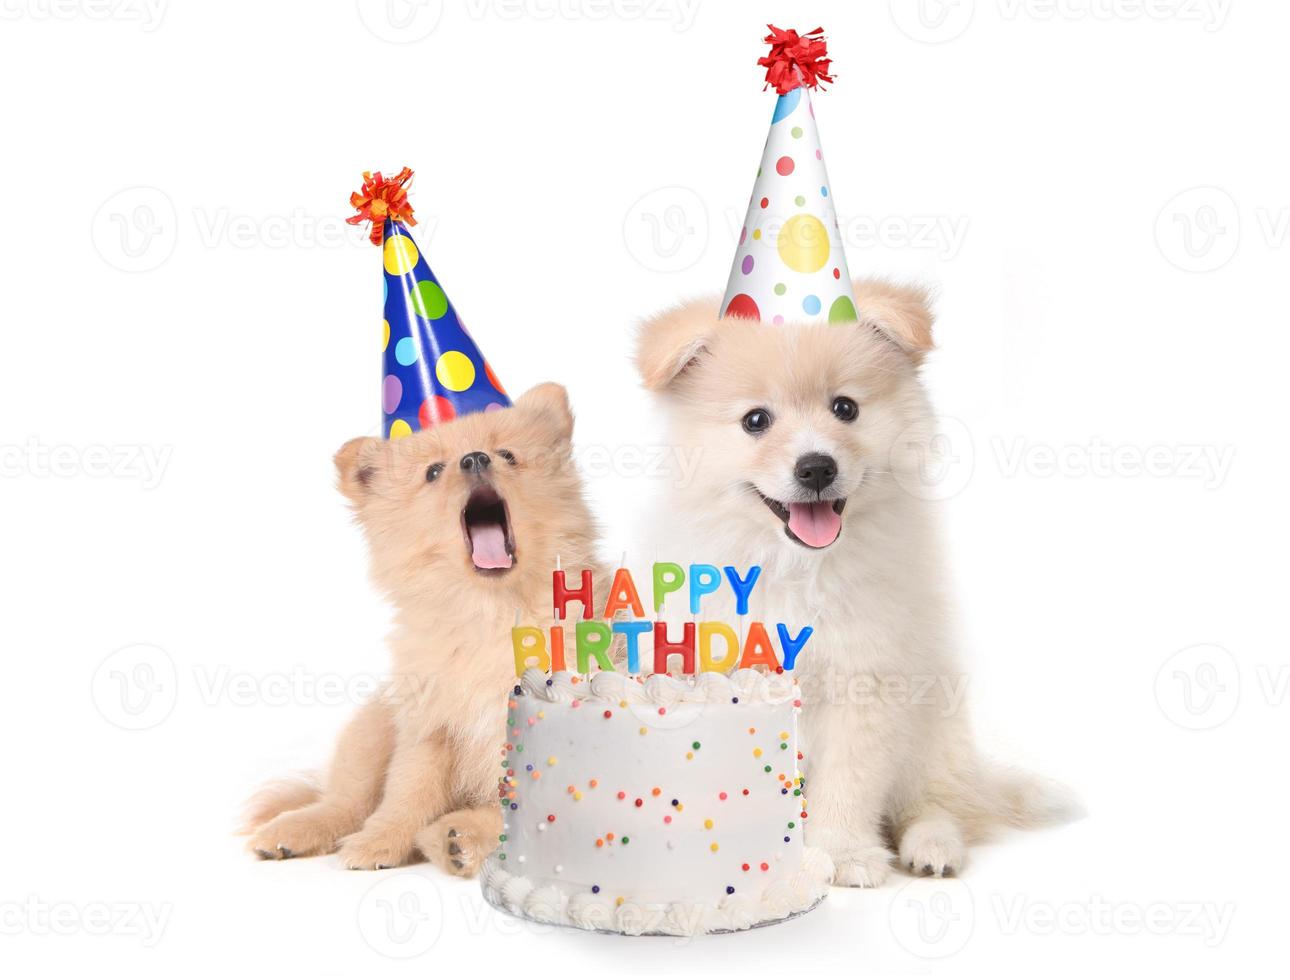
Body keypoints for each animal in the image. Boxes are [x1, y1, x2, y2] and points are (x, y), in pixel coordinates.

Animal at [243, 381, 601, 871]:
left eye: (507, 455)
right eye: (433, 472)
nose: (475, 458)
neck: (490, 612)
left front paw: (464, 837)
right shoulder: (429, 728)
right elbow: (406, 794)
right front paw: (380, 843)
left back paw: (455, 838)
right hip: (374, 726)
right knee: (346, 800)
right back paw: (293, 830)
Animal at [632, 283, 1068, 887]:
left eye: (846, 408)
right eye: (755, 420)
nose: (816, 467)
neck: (795, 567)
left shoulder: (868, 679)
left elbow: (850, 781)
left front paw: (841, 854)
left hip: (935, 731)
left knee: (936, 804)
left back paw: (933, 846)